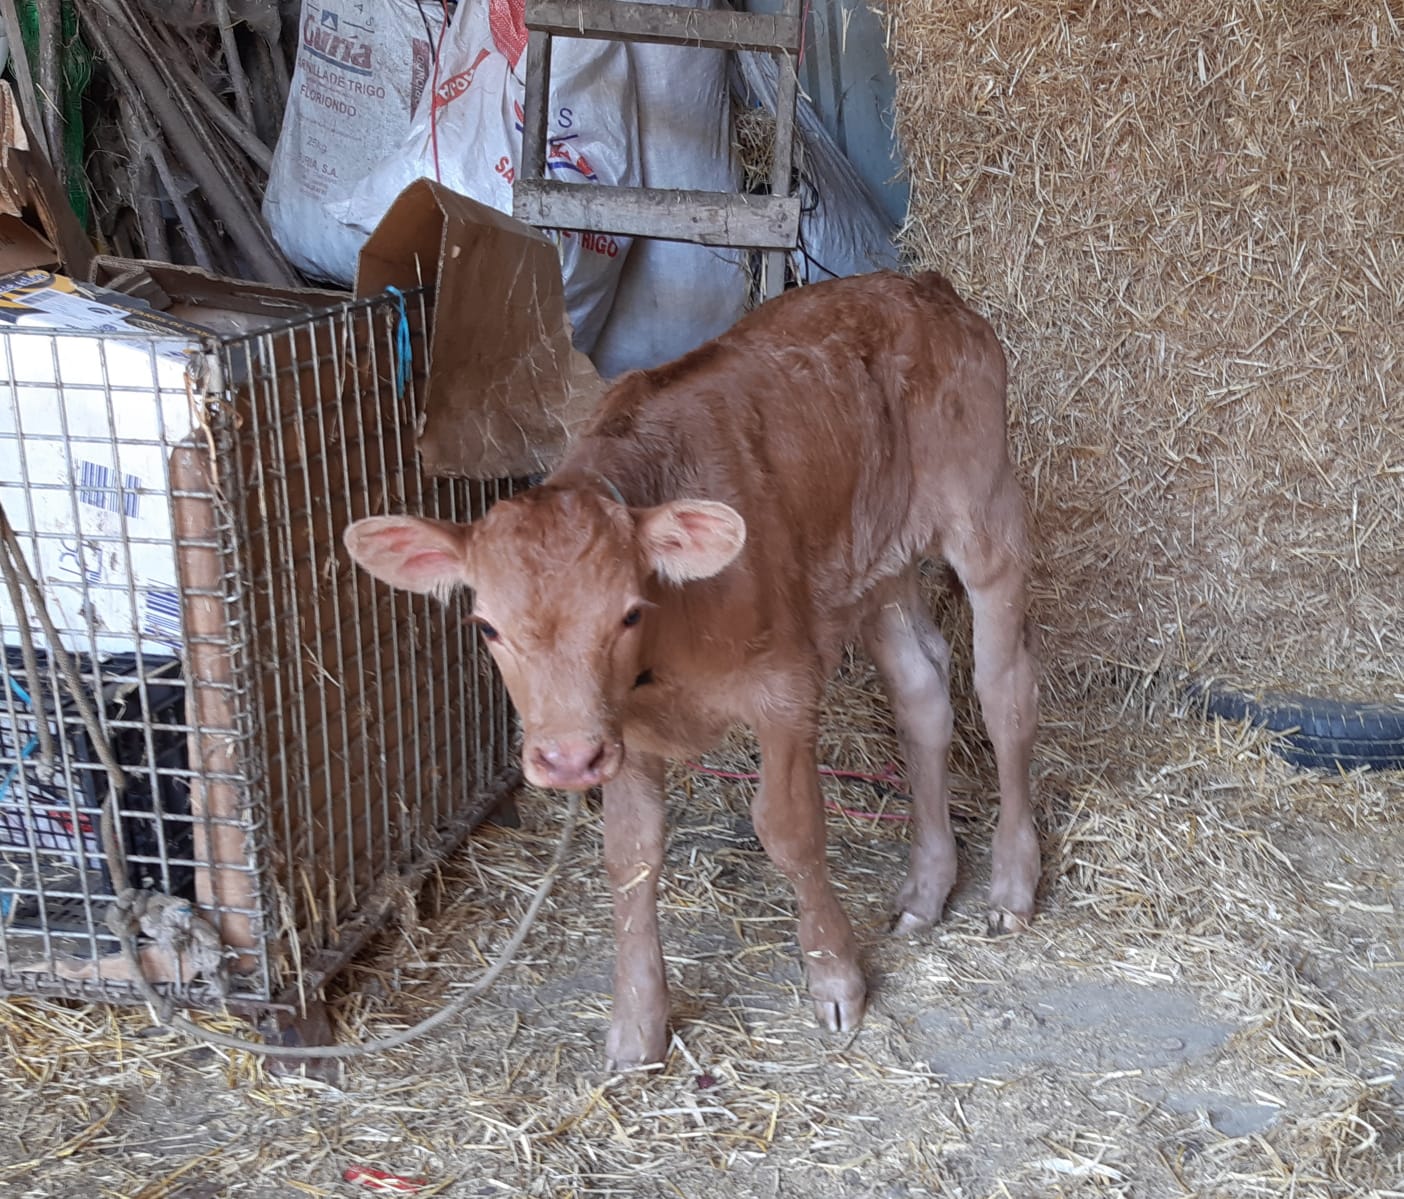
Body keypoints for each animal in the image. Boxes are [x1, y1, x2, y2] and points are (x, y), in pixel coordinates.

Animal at [345, 272, 1038, 1072]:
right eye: (485, 625)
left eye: (627, 613)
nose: (564, 758)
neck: (667, 651)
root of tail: (924, 285)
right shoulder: (623, 733)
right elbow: (629, 855)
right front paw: (637, 1026)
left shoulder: (785, 687)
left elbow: (789, 829)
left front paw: (835, 977)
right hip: (877, 566)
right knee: (922, 692)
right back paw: (927, 888)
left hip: (985, 517)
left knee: (1004, 692)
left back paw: (1013, 884)